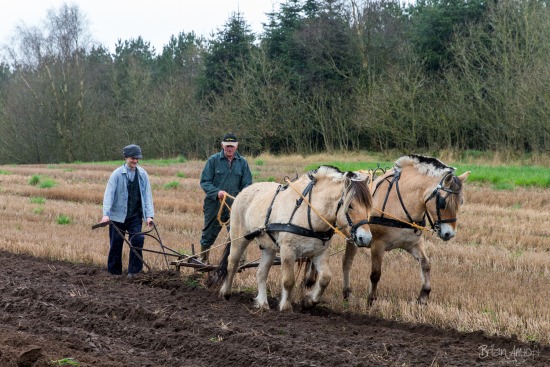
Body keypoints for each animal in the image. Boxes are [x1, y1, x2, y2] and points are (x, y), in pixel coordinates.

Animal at [218, 167, 374, 314]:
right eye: (350, 205)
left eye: (368, 206)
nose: (365, 238)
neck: (308, 214)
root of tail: (244, 191)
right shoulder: (288, 251)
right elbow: (288, 281)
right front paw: (286, 307)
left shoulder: (320, 252)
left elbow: (325, 278)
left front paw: (309, 302)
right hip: (239, 238)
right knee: (232, 264)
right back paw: (225, 293)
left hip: (268, 248)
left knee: (261, 273)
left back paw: (263, 303)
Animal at [344, 155, 470, 304]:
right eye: (442, 203)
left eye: (460, 202)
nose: (449, 234)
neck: (399, 203)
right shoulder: (377, 245)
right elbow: (375, 274)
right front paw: (371, 299)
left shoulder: (413, 244)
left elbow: (426, 264)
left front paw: (424, 295)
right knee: (347, 262)